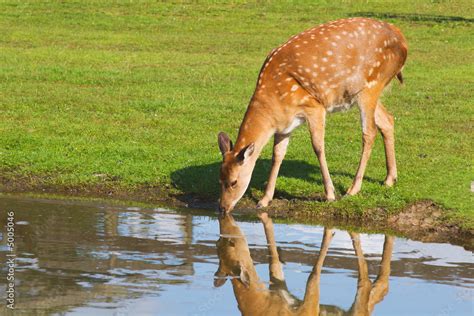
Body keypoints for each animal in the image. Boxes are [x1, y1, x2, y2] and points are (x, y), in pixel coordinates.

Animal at [214, 212, 392, 316]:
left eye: (231, 243)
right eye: (217, 243)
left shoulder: (307, 308)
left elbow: (312, 277)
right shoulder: (279, 288)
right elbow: (275, 263)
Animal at [218, 18, 408, 214]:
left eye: (233, 182)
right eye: (219, 179)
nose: (223, 207)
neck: (274, 103)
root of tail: (401, 38)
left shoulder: (314, 106)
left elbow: (318, 147)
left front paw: (330, 194)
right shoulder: (285, 125)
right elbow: (277, 154)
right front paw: (264, 200)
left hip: (371, 84)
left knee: (369, 132)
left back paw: (353, 189)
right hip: (364, 92)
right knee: (387, 120)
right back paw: (389, 179)